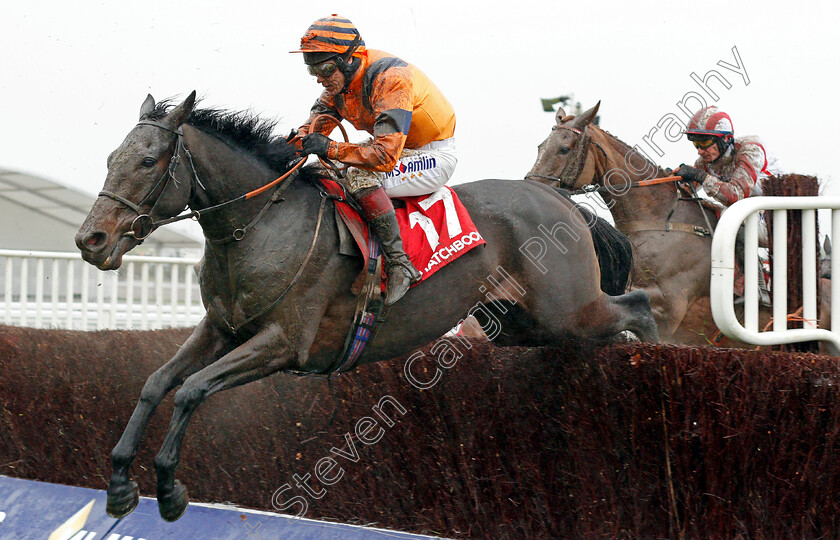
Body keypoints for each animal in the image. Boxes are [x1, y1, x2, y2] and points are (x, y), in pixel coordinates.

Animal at [75, 94, 660, 524]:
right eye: (110, 159)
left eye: (148, 161)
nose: (91, 240)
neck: (260, 224)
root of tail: (560, 198)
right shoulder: (222, 328)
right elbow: (157, 382)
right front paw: (121, 483)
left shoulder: (283, 343)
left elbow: (192, 390)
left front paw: (170, 489)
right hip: (521, 326)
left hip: (570, 309)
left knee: (638, 309)